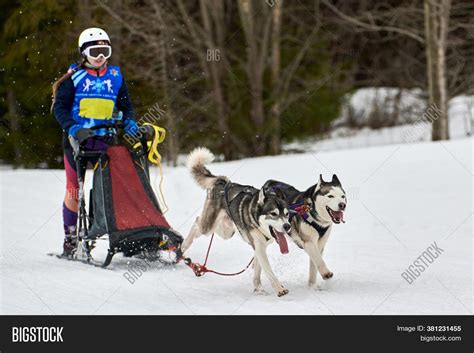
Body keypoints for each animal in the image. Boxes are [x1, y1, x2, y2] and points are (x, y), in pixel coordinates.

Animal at [182, 147, 290, 296]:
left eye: (287, 214)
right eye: (273, 214)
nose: (287, 226)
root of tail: (223, 182)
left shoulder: (258, 248)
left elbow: (258, 271)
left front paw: (258, 288)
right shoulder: (259, 248)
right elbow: (269, 271)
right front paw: (279, 288)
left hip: (226, 232)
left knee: (200, 222)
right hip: (209, 227)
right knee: (198, 222)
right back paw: (184, 245)